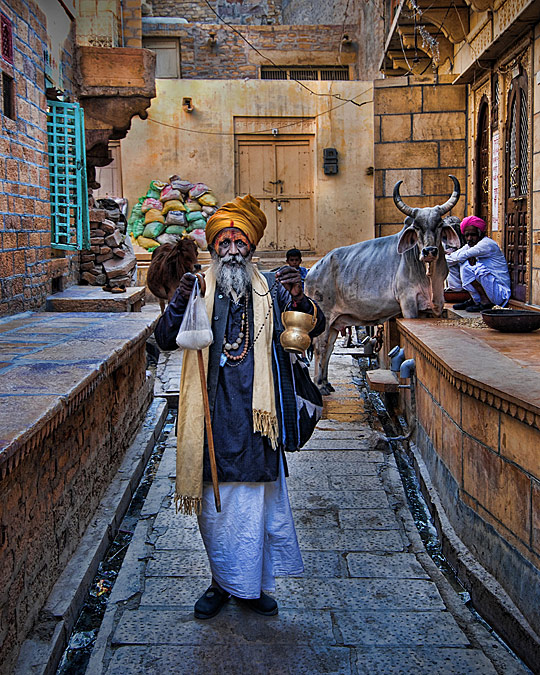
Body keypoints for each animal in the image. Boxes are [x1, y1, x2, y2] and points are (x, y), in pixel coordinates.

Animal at [306, 176, 462, 396]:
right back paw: (320, 386)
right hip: (324, 317)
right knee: (320, 348)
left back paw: (327, 383)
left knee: (328, 349)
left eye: (439, 224)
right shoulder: (408, 303)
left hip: (336, 322)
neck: (428, 276)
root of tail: (312, 270)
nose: (429, 251)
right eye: (416, 227)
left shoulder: (435, 305)